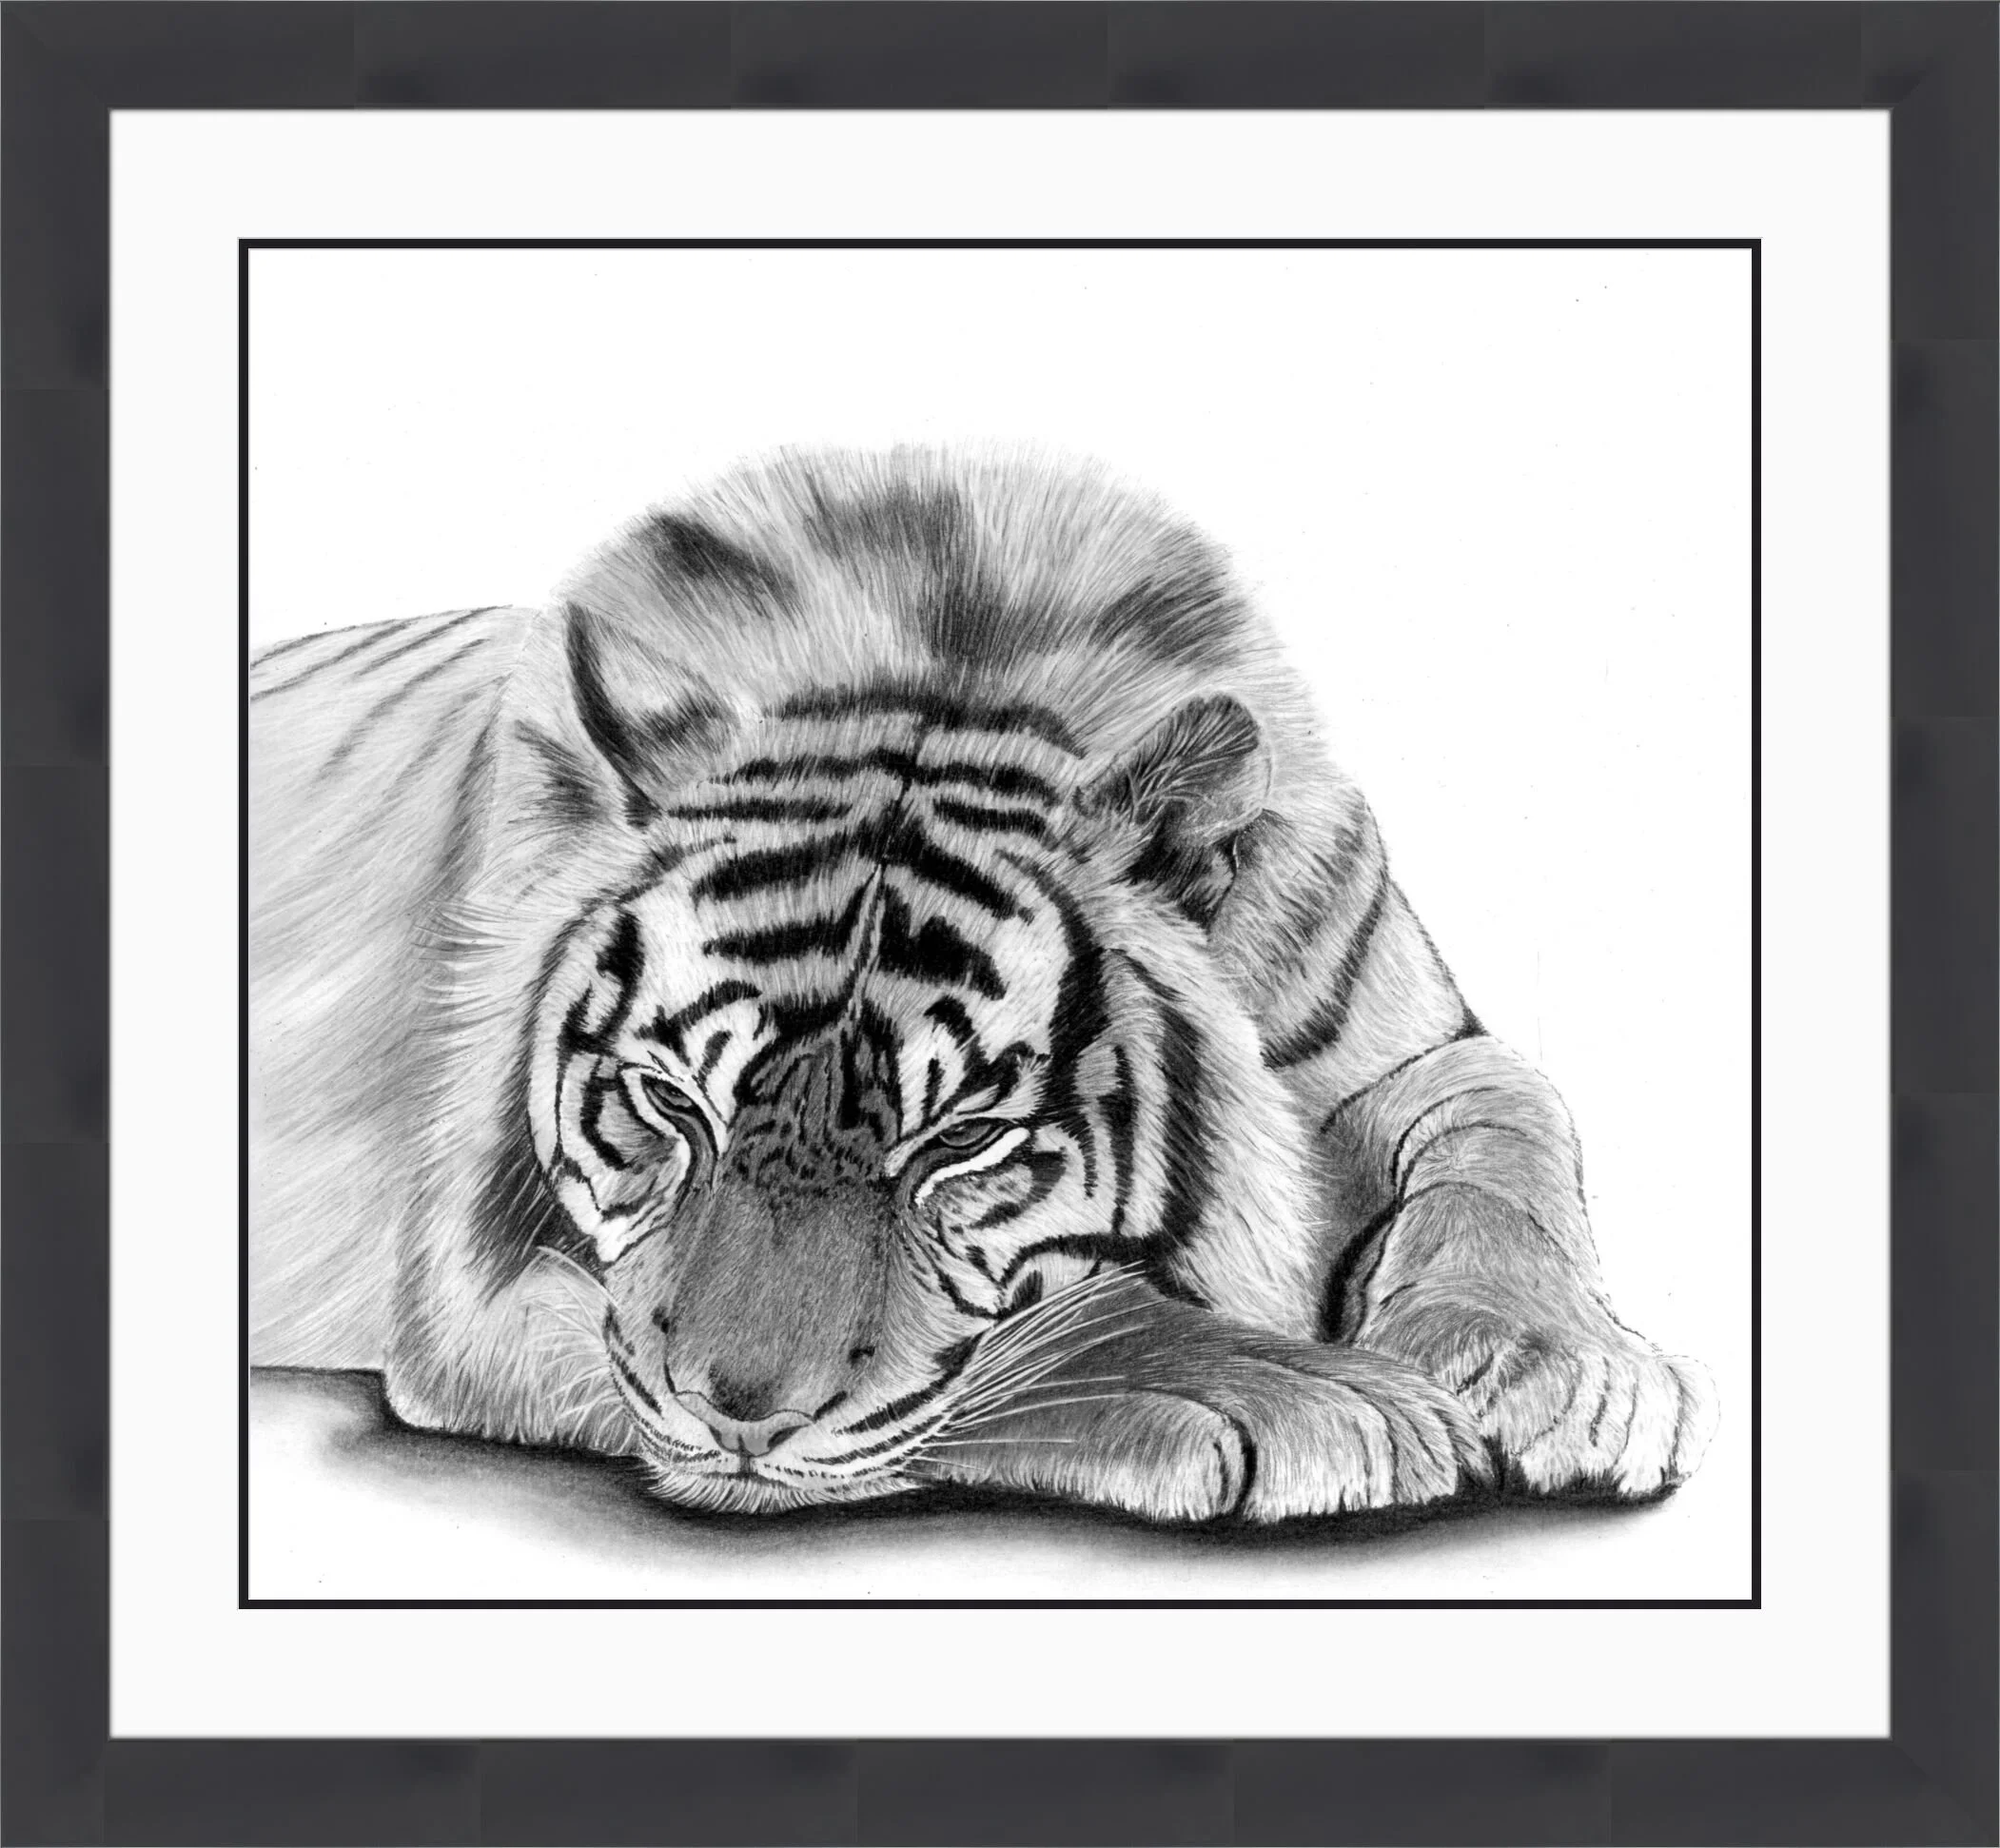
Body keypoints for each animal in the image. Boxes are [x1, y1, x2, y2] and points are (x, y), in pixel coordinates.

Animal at [248, 445, 1717, 1523]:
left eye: (960, 1143)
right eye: (670, 1104)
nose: (733, 1415)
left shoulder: (1396, 1034)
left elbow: (1511, 1110)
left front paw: (1553, 1374)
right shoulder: (480, 1288)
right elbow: (1075, 1325)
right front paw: (1310, 1399)